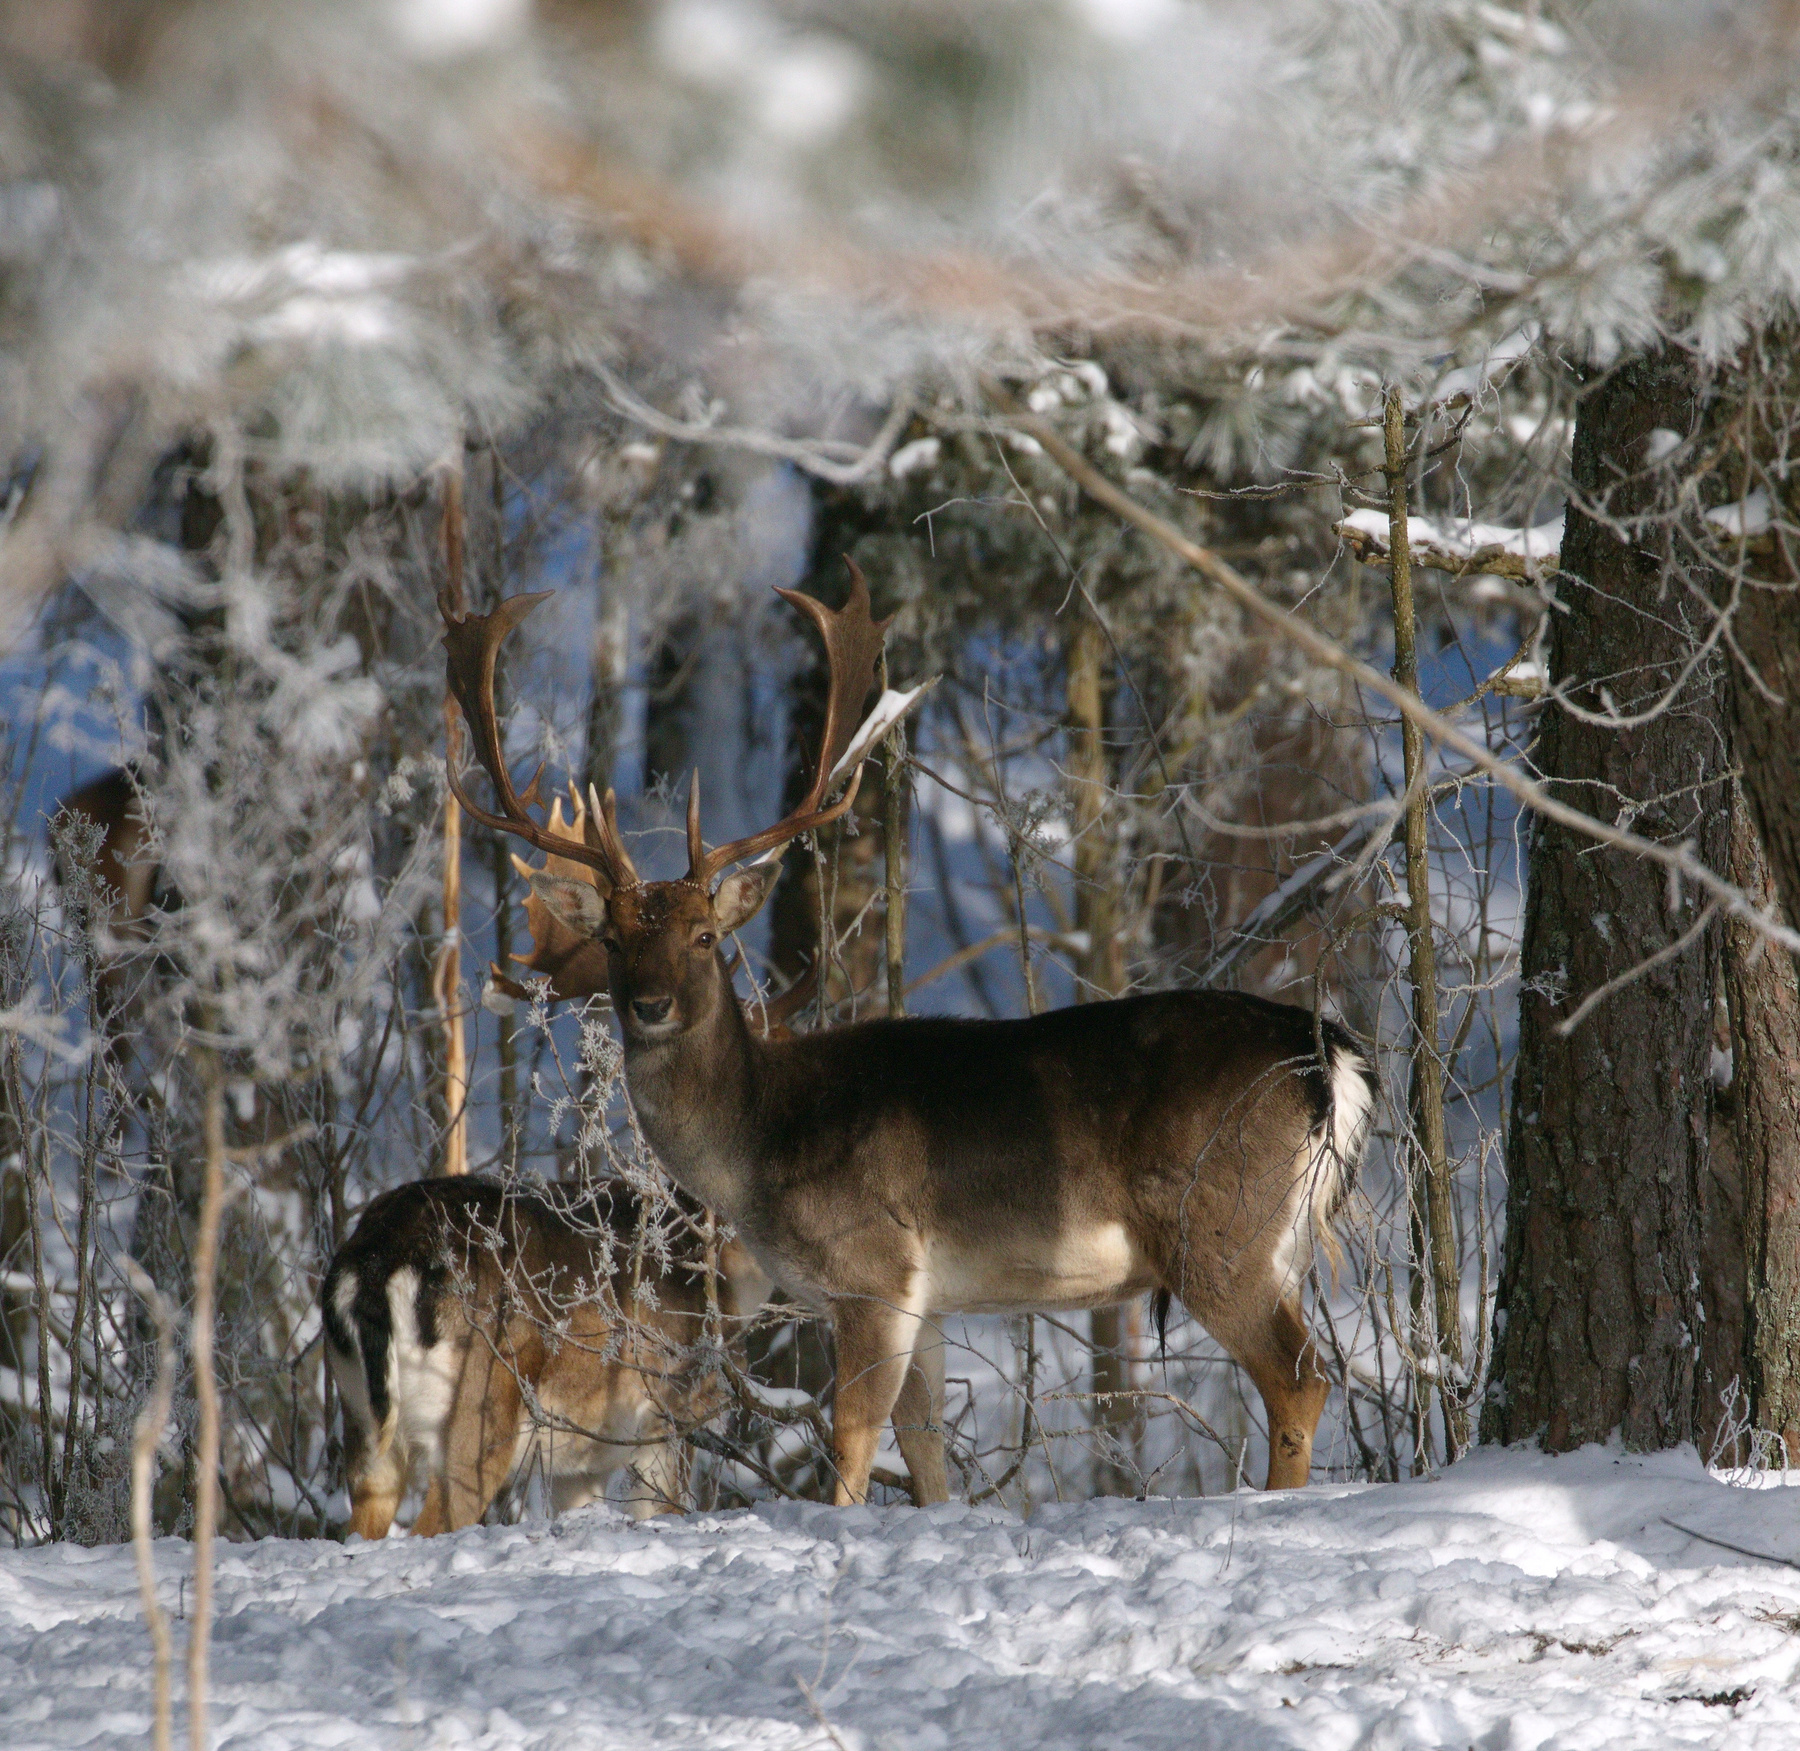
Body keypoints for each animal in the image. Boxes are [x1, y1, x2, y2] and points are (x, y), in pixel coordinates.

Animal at [439, 563, 1378, 1501]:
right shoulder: (928, 1300)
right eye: (611, 940)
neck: (758, 1143)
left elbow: (852, 1442)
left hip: (1216, 1228)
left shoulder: (873, 1267)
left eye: (705, 936)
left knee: (1300, 1377)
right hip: (1275, 1240)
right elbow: (925, 1449)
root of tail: (1331, 1057)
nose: (651, 1005)